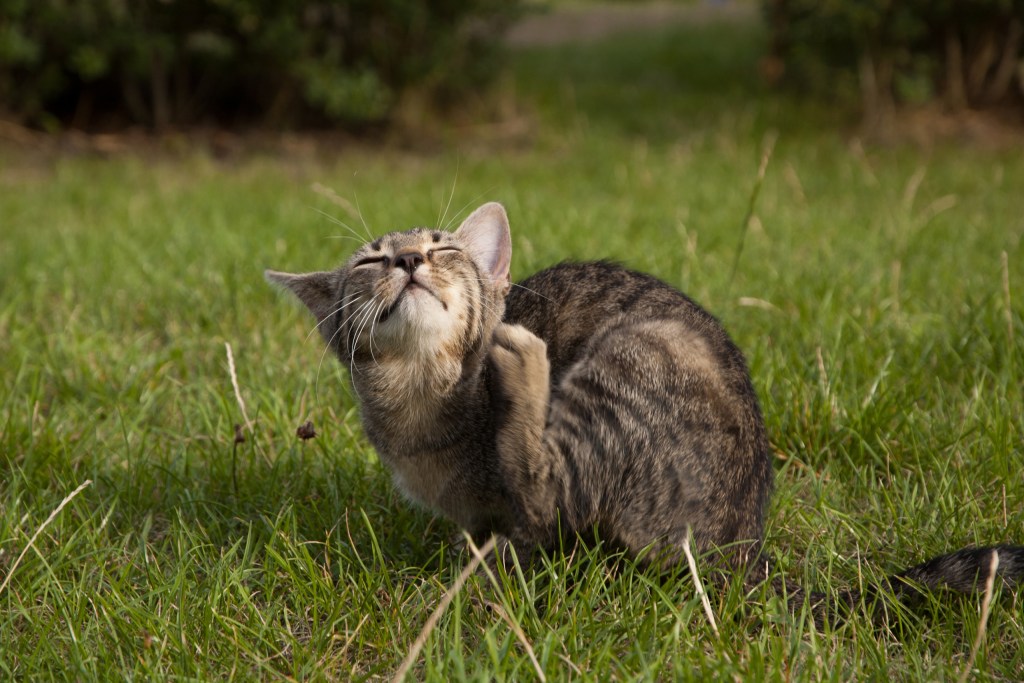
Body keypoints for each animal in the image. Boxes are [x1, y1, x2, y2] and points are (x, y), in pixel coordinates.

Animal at [268, 201, 1019, 614]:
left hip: (630, 357)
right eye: (370, 262)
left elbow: (528, 519)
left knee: (545, 481)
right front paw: (472, 558)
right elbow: (486, 532)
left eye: (443, 246)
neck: (422, 396)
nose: (408, 260)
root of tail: (745, 551)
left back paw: (527, 364)